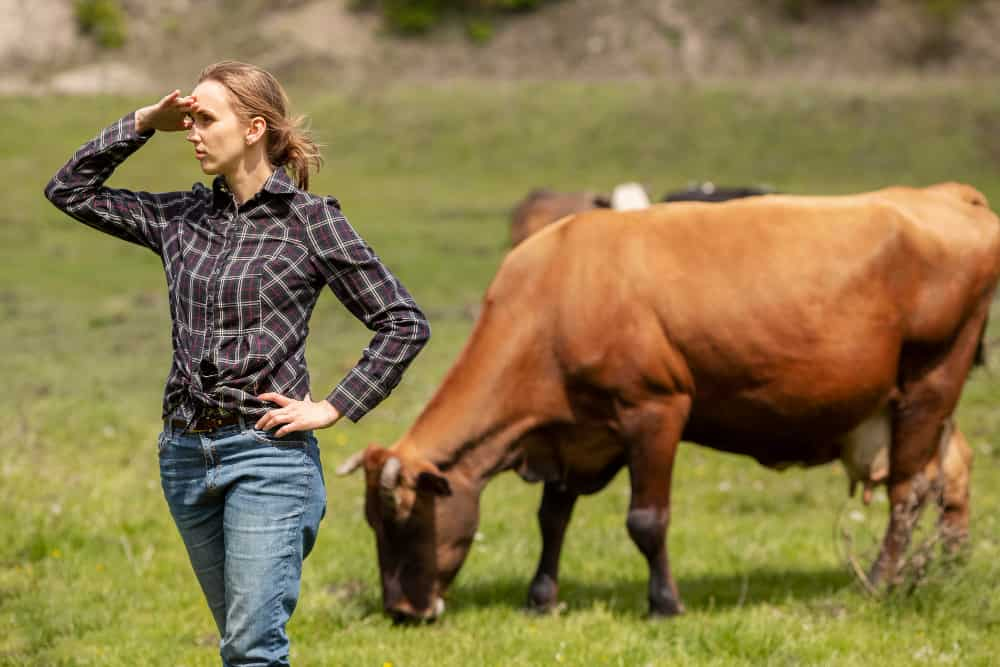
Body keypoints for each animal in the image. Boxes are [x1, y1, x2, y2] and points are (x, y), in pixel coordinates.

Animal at [342, 183, 1000, 620]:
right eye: (370, 521)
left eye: (403, 519)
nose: (402, 611)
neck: (557, 296)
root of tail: (948, 194)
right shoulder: (572, 433)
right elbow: (552, 518)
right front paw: (541, 598)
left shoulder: (654, 410)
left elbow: (646, 519)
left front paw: (664, 602)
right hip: (913, 401)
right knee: (952, 471)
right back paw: (946, 565)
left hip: (931, 378)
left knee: (909, 489)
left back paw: (882, 583)